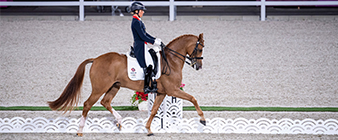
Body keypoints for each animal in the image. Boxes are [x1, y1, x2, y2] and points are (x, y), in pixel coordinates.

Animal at [47, 32, 206, 136]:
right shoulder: (173, 90)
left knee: (105, 102)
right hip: (99, 88)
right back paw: (80, 131)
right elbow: (193, 99)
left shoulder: (162, 92)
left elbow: (154, 110)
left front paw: (148, 129)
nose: (199, 66)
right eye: (199, 49)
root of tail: (96, 59)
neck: (171, 61)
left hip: (114, 86)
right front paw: (203, 120)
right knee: (87, 104)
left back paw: (119, 122)